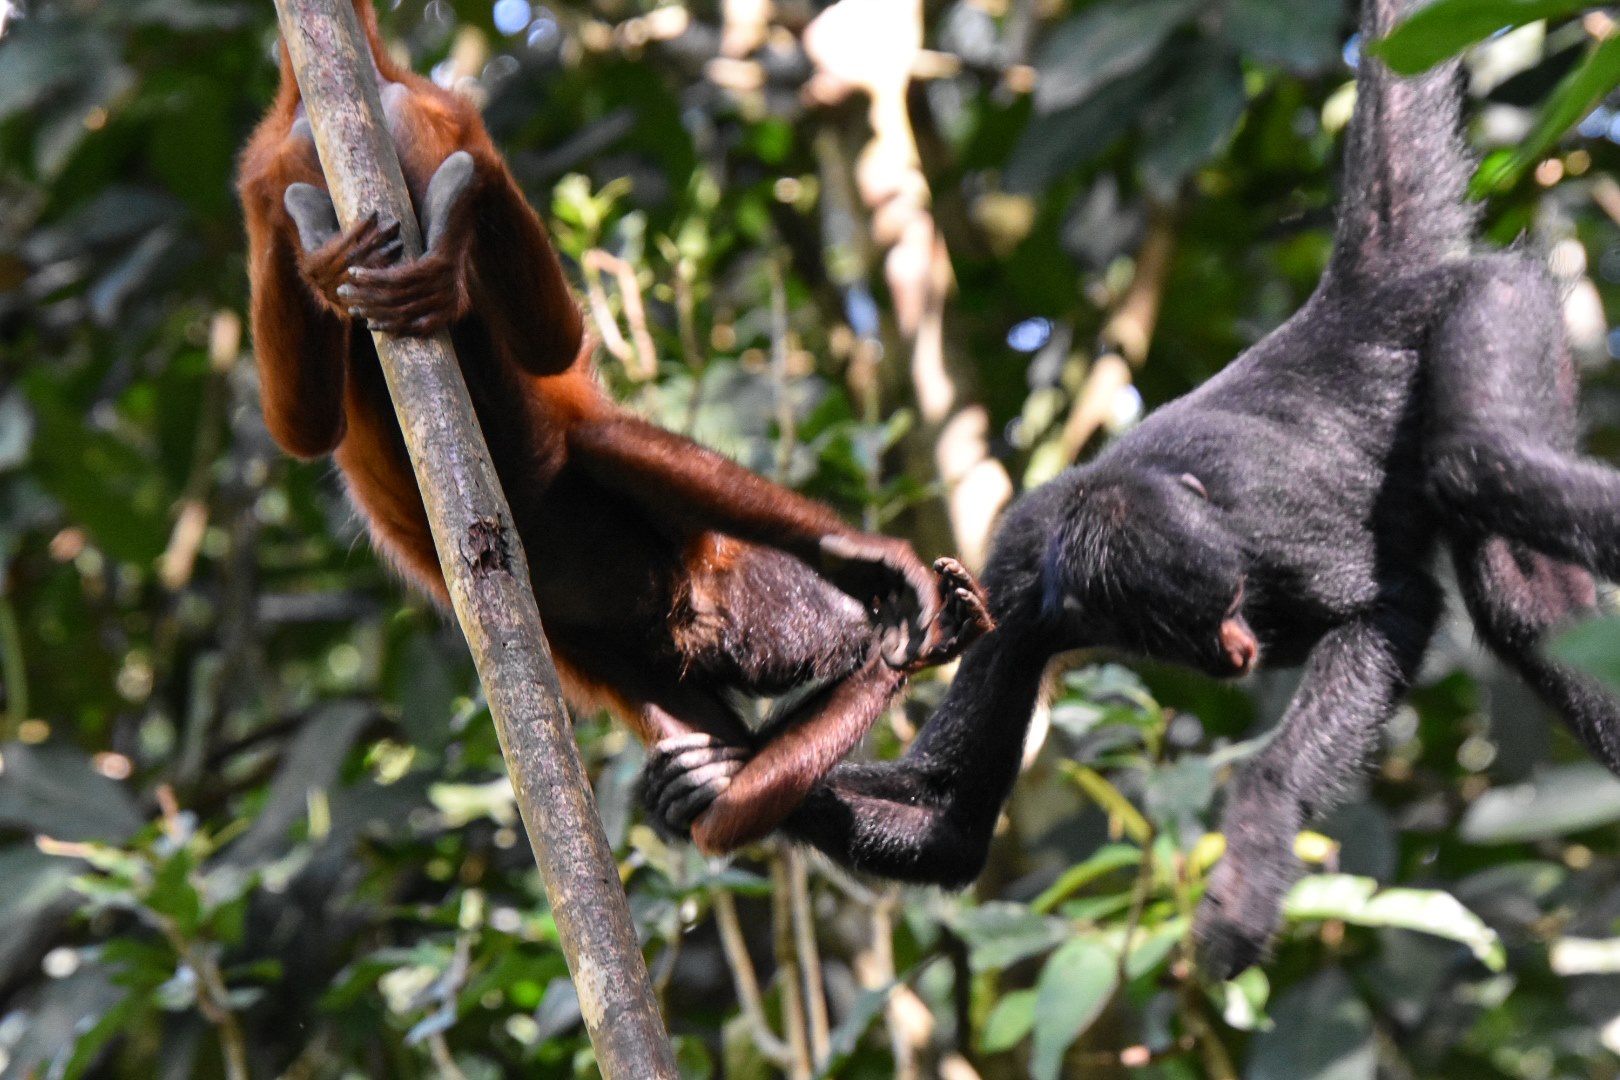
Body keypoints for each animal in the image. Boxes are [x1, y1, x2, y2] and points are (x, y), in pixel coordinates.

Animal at [237, 0, 992, 856]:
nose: (858, 625)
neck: (672, 600)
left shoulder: (633, 666)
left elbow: (728, 816)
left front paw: (720, 773)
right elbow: (615, 449)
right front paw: (884, 571)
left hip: (288, 172)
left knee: (306, 419)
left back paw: (343, 242)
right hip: (416, 129)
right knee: (550, 352)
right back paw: (462, 193)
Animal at [648, 0, 1620, 975]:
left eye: (1231, 604)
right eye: (1181, 630)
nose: (1239, 649)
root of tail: (1355, 299)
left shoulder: (1265, 537)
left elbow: (1396, 604)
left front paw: (1253, 846)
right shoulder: (1016, 587)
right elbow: (948, 820)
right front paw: (717, 775)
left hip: (1493, 300)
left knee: (1481, 468)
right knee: (1523, 596)